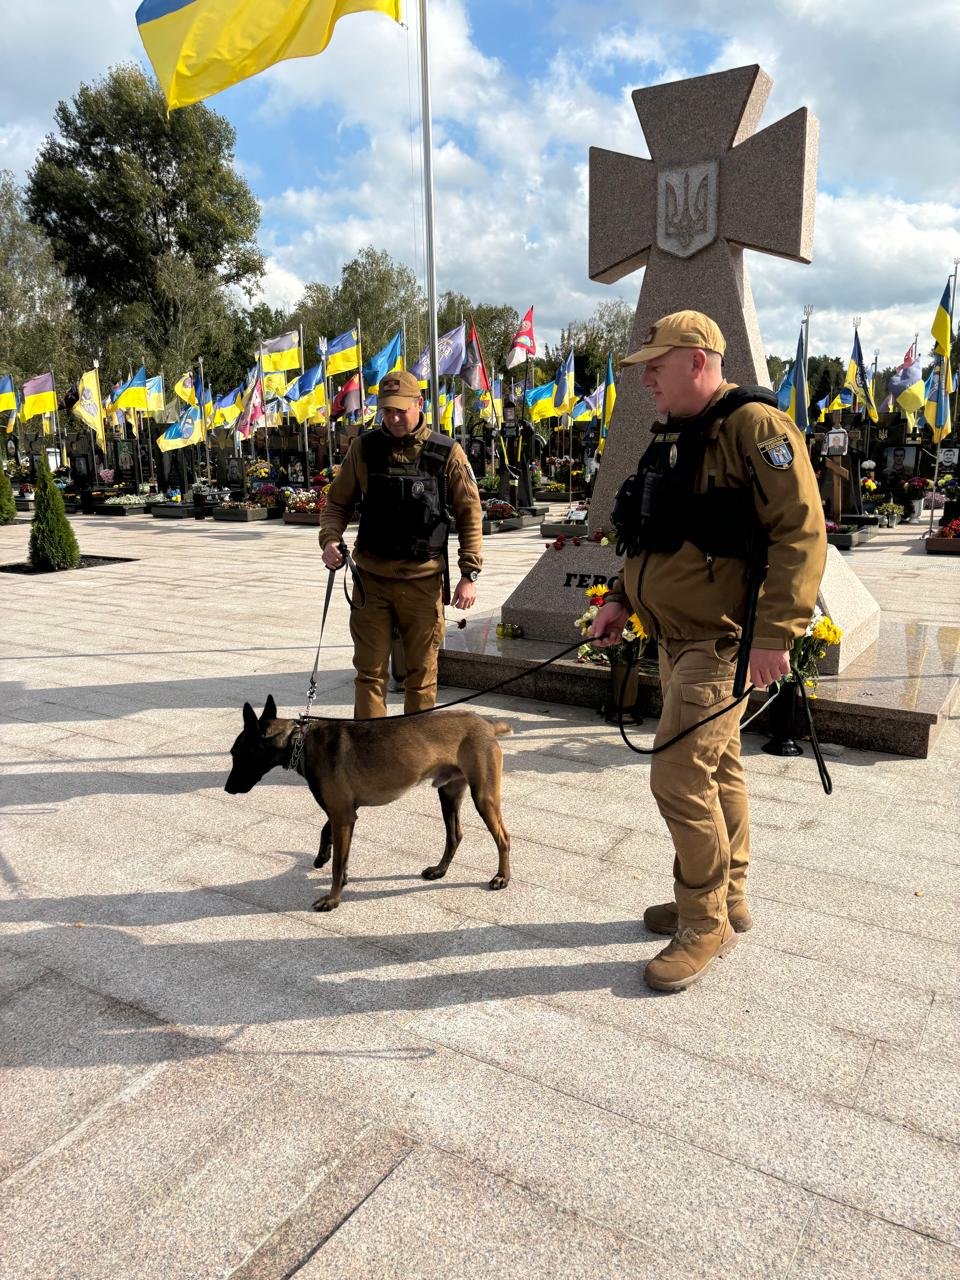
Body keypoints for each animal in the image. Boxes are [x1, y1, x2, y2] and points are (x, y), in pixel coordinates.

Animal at [225, 696, 512, 916]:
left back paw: (502, 877)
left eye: (236, 754)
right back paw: (440, 870)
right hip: (449, 794)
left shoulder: (343, 817)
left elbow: (337, 863)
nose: (227, 788)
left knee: (503, 838)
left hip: (483, 797)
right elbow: (331, 840)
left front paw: (332, 899)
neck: (300, 742)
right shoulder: (344, 814)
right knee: (455, 835)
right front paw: (325, 857)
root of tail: (487, 724)